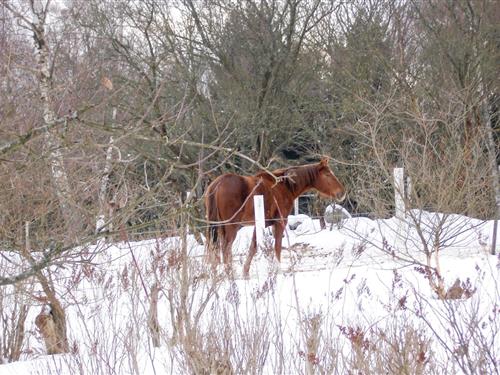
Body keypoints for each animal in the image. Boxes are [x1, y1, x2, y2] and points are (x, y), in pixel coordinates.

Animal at [203, 157, 344, 278]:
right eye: (328, 175)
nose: (342, 193)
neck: (285, 186)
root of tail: (218, 184)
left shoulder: (260, 225)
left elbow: (253, 247)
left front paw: (246, 272)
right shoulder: (280, 223)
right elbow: (277, 247)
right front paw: (278, 270)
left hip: (219, 227)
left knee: (214, 250)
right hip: (230, 227)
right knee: (225, 249)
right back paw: (229, 275)